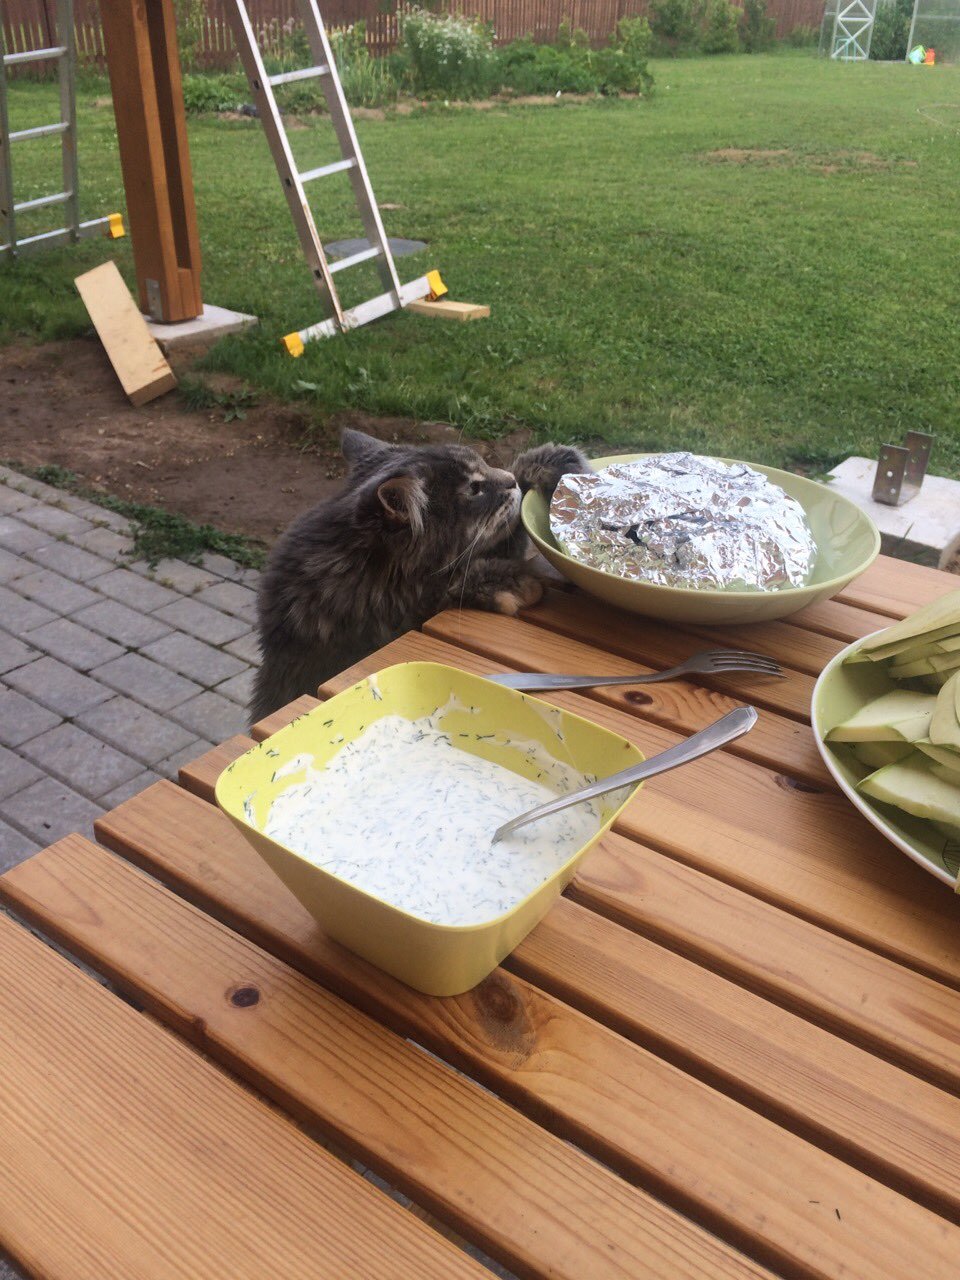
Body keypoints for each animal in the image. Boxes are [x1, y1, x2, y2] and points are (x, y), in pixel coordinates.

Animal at [249, 429, 589, 723]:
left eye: (484, 465)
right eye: (474, 489)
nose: (510, 482)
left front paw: (554, 462)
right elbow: (463, 580)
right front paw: (513, 582)